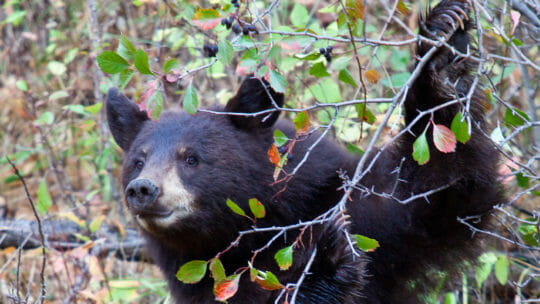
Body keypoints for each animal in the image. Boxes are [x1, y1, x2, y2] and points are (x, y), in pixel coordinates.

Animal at [107, 1, 504, 302]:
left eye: (191, 158)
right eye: (138, 161)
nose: (143, 189)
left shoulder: (366, 215)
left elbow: (438, 189)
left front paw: (441, 46)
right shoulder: (204, 284)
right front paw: (325, 264)